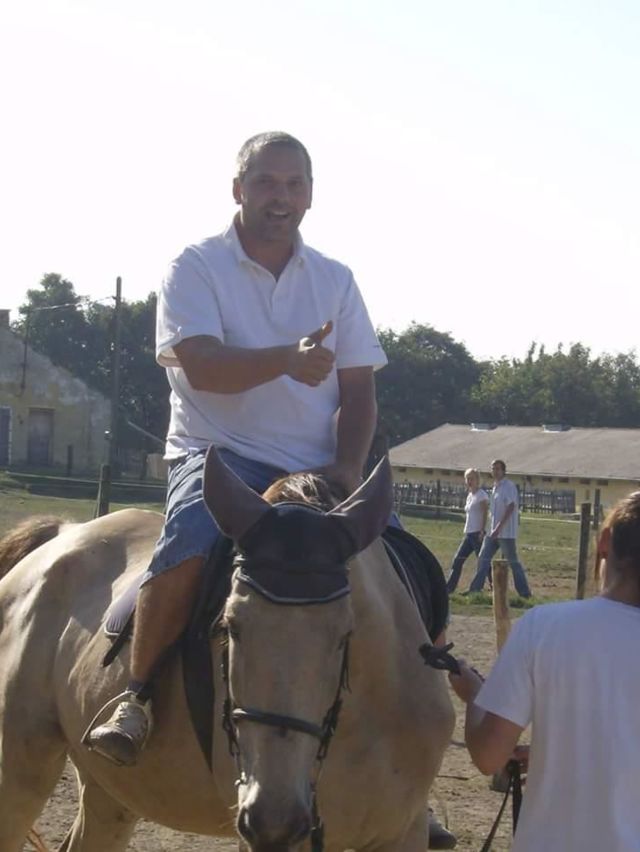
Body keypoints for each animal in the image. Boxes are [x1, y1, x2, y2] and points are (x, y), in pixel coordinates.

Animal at [0, 449, 454, 851]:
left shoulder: (403, 833)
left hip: (110, 793)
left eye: (345, 634)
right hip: (21, 769)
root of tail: (63, 536)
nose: (275, 818)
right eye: (228, 627)